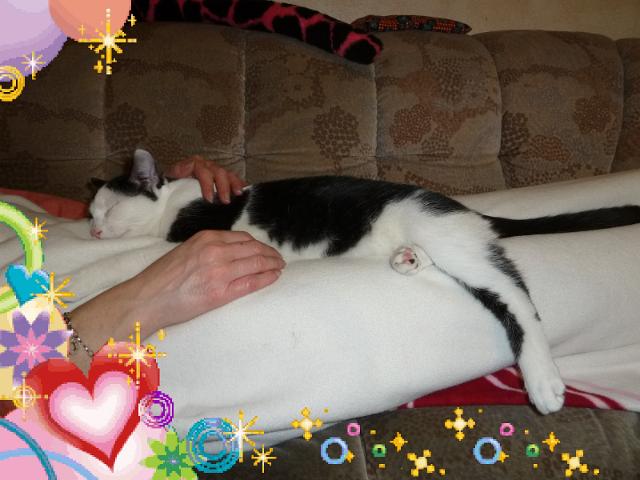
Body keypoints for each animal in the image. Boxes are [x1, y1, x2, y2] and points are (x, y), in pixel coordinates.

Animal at [89, 149, 640, 414]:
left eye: (108, 209)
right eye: (90, 212)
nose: (92, 229)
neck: (174, 201)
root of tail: (459, 209)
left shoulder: (198, 230)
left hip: (454, 243)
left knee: (516, 295)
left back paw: (543, 382)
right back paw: (407, 259)